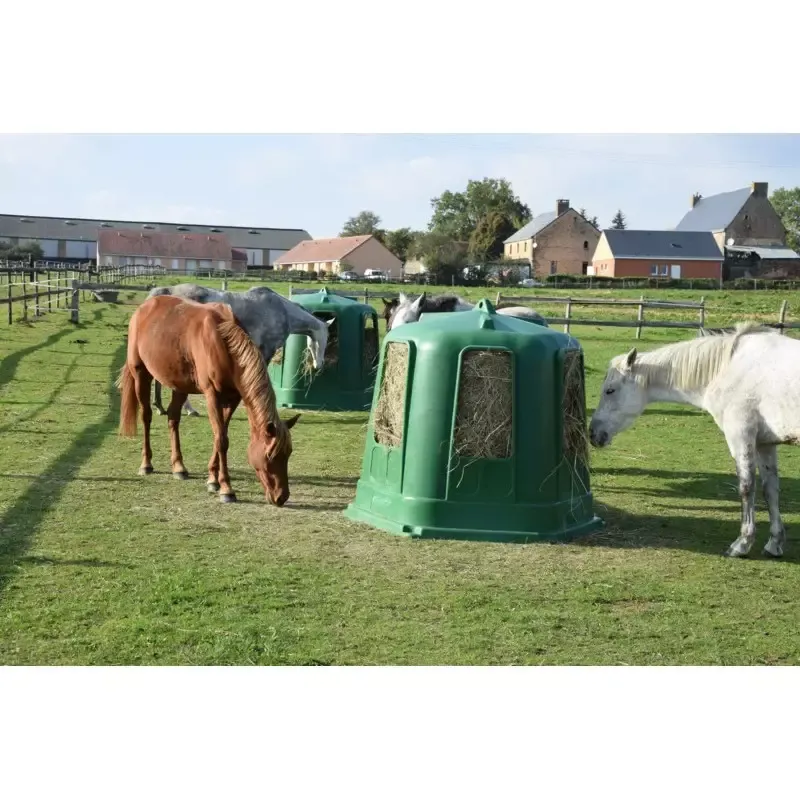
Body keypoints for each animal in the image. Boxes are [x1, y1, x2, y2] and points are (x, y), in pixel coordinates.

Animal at [118, 294, 300, 506]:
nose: (281, 496)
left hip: (179, 385)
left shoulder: (233, 399)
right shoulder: (212, 395)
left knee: (173, 418)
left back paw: (179, 467)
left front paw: (213, 480)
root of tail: (143, 308)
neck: (222, 342)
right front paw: (226, 489)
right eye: (270, 455)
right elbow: (221, 440)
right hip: (141, 374)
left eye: (289, 453)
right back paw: (146, 464)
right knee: (146, 416)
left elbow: (220, 436)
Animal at [148, 284, 331, 417]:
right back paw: (188, 409)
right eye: (327, 338)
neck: (280, 310)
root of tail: (165, 292)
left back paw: (160, 407)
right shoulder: (266, 350)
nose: (319, 365)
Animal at [589, 322, 800, 559]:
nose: (593, 433)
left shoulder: (741, 436)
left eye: (610, 390)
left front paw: (742, 544)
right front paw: (774, 543)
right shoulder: (765, 444)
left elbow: (746, 487)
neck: (727, 368)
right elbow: (770, 490)